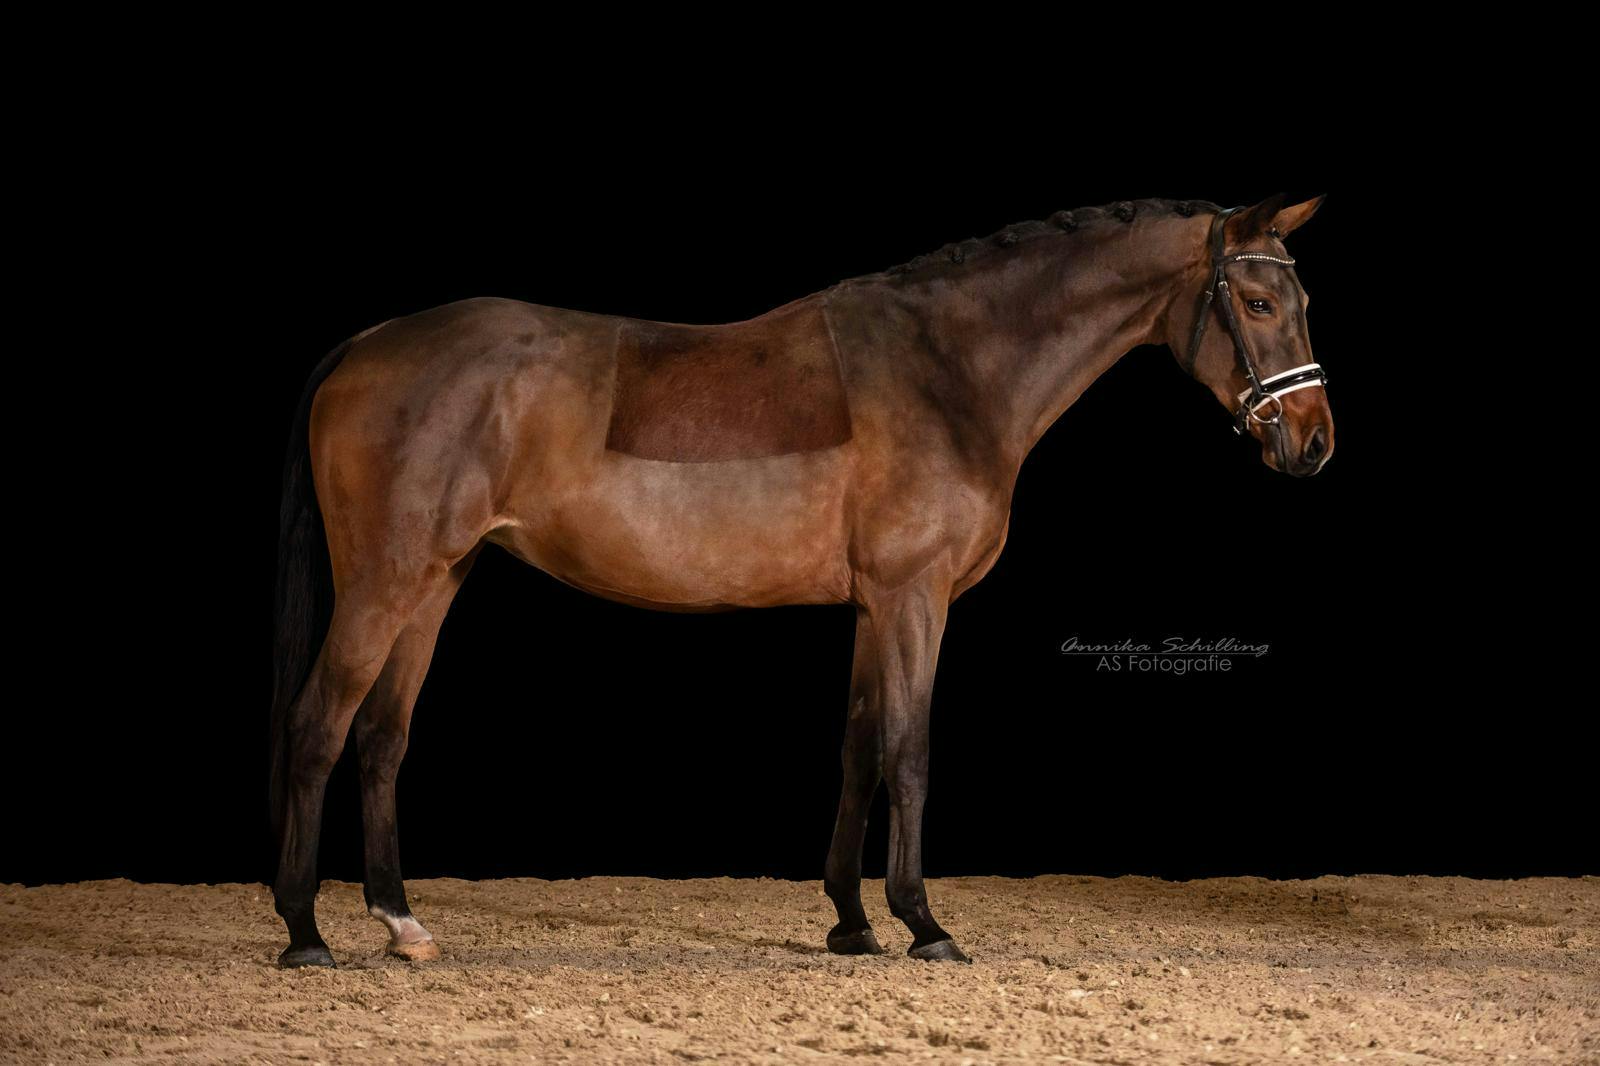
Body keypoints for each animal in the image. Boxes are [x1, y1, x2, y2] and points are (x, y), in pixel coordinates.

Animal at [270, 192, 1332, 968]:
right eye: (1260, 304)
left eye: (1302, 304)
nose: (1314, 441)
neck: (950, 372)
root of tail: (367, 345)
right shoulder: (914, 598)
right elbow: (910, 749)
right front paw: (924, 924)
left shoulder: (871, 606)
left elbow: (859, 748)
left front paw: (852, 924)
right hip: (386, 580)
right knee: (319, 723)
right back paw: (304, 931)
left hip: (437, 578)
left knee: (383, 736)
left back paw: (400, 922)